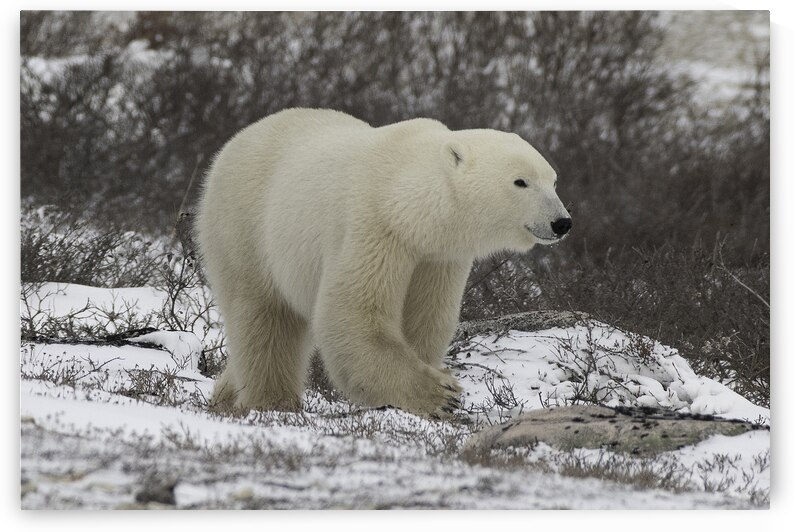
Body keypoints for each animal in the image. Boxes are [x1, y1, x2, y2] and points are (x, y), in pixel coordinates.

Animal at [195, 108, 571, 418]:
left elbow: (425, 319)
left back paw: (224, 398)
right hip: (246, 227)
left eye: (553, 180)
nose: (562, 222)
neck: (406, 200)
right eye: (521, 181)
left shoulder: (438, 257)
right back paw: (273, 402)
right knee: (265, 318)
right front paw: (441, 394)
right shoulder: (374, 228)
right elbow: (354, 315)